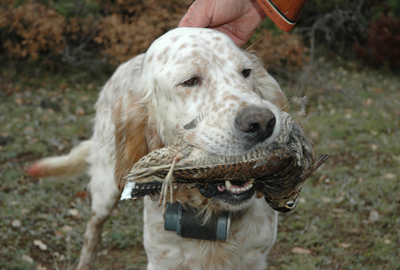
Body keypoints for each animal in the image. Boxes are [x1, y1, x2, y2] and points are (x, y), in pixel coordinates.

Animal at [28, 28, 288, 270]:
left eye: (246, 72)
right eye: (190, 81)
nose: (263, 123)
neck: (205, 210)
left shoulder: (255, 258)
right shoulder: (162, 258)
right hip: (105, 188)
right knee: (93, 229)